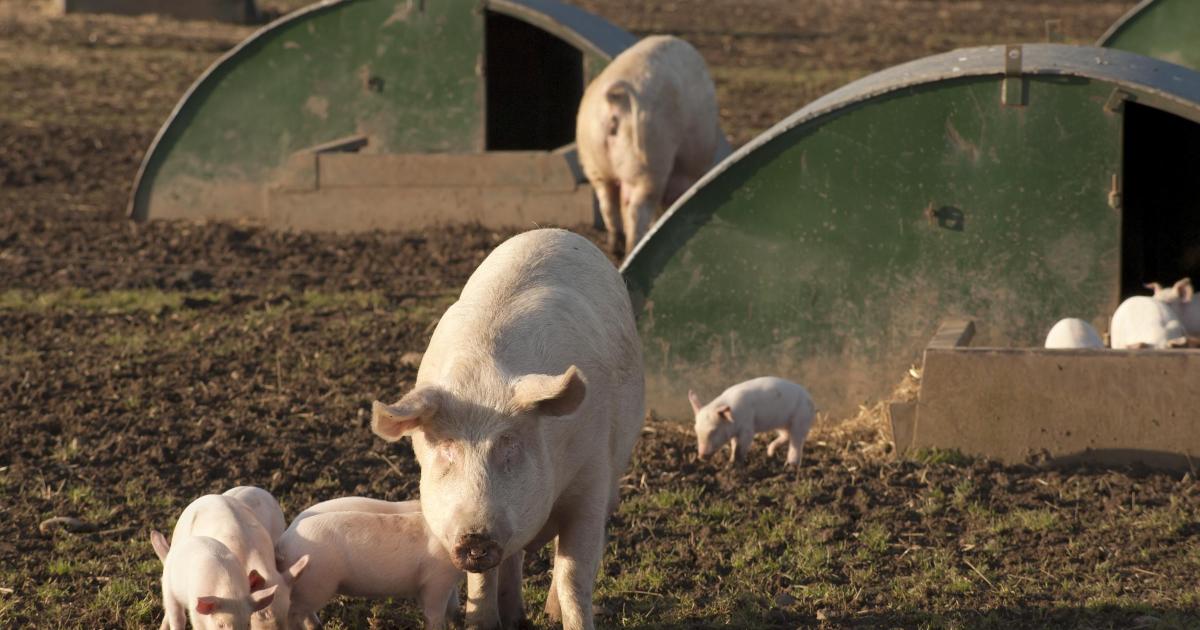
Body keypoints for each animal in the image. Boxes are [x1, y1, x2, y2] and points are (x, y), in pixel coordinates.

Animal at [274, 510, 462, 630]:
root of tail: (284, 541)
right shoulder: (436, 581)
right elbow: (434, 615)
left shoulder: (447, 584)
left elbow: (453, 609)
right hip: (315, 584)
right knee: (292, 613)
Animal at [371, 228, 644, 630]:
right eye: (447, 447)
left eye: (510, 444)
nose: (474, 535)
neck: (483, 384)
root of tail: (553, 231)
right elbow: (483, 579)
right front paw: (482, 623)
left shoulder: (592, 476)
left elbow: (573, 573)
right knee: (513, 559)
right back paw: (516, 616)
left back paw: (546, 612)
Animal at [576, 35, 725, 258]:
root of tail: (616, 99)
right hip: (650, 158)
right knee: (636, 210)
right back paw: (632, 248)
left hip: (594, 160)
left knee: (608, 205)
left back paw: (616, 250)